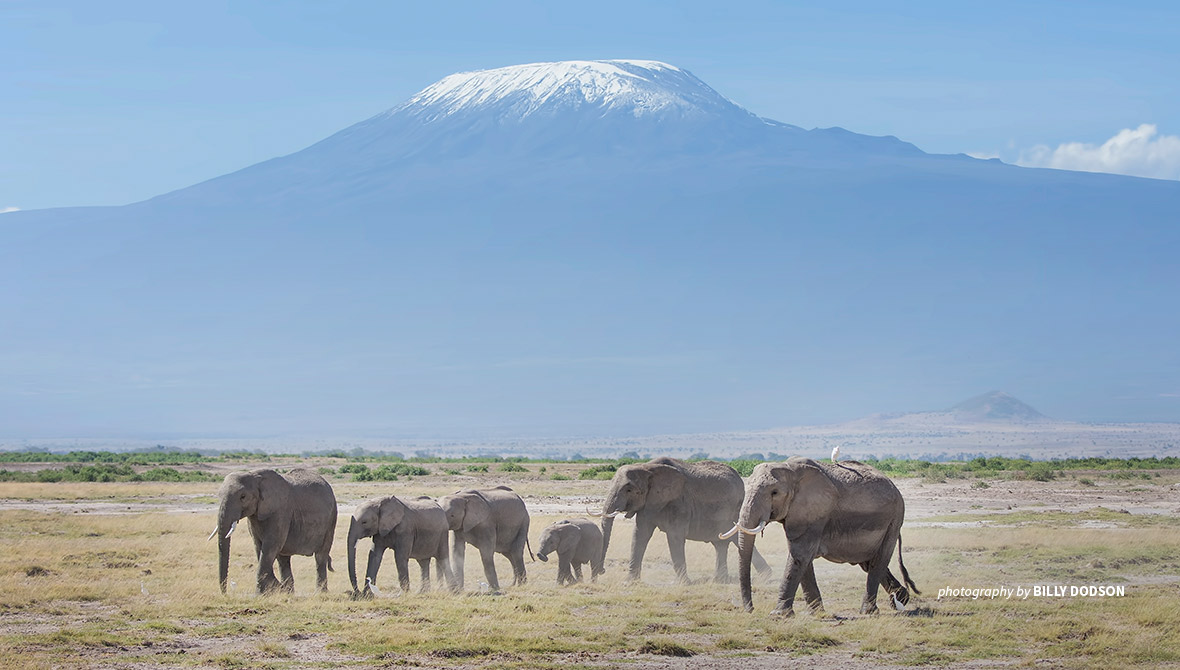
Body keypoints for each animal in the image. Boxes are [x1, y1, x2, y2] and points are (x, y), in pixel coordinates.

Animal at [207, 469, 335, 594]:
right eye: (219, 496)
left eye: (243, 497)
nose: (225, 593)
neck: (254, 475)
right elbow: (259, 547)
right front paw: (275, 590)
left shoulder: (280, 512)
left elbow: (270, 546)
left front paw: (261, 594)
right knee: (284, 560)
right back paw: (289, 592)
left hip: (330, 522)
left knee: (320, 557)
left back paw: (319, 593)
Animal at [599, 457, 774, 582]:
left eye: (629, 489)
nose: (602, 571)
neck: (647, 467)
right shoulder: (648, 504)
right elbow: (640, 535)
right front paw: (630, 582)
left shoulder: (679, 503)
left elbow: (675, 537)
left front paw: (684, 583)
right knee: (722, 543)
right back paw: (722, 579)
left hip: (734, 510)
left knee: (734, 538)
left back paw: (765, 577)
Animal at [726, 457, 920, 613]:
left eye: (774, 493)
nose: (751, 610)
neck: (790, 469)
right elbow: (801, 557)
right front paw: (816, 613)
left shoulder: (815, 512)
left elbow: (800, 554)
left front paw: (779, 614)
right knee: (868, 563)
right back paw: (900, 599)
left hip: (894, 520)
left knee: (879, 561)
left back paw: (869, 611)